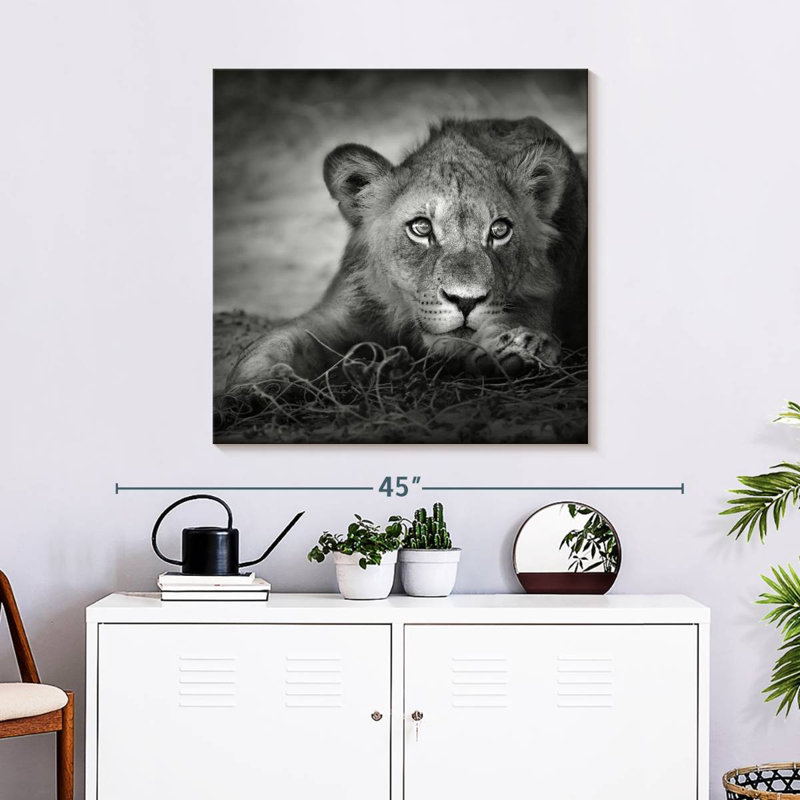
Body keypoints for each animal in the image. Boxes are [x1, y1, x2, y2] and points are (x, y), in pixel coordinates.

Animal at [225, 116, 587, 388]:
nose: (466, 301)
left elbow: (519, 321)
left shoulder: (538, 296)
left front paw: (521, 349)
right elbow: (274, 343)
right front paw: (251, 389)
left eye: (499, 230)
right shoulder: (345, 310)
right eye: (421, 228)